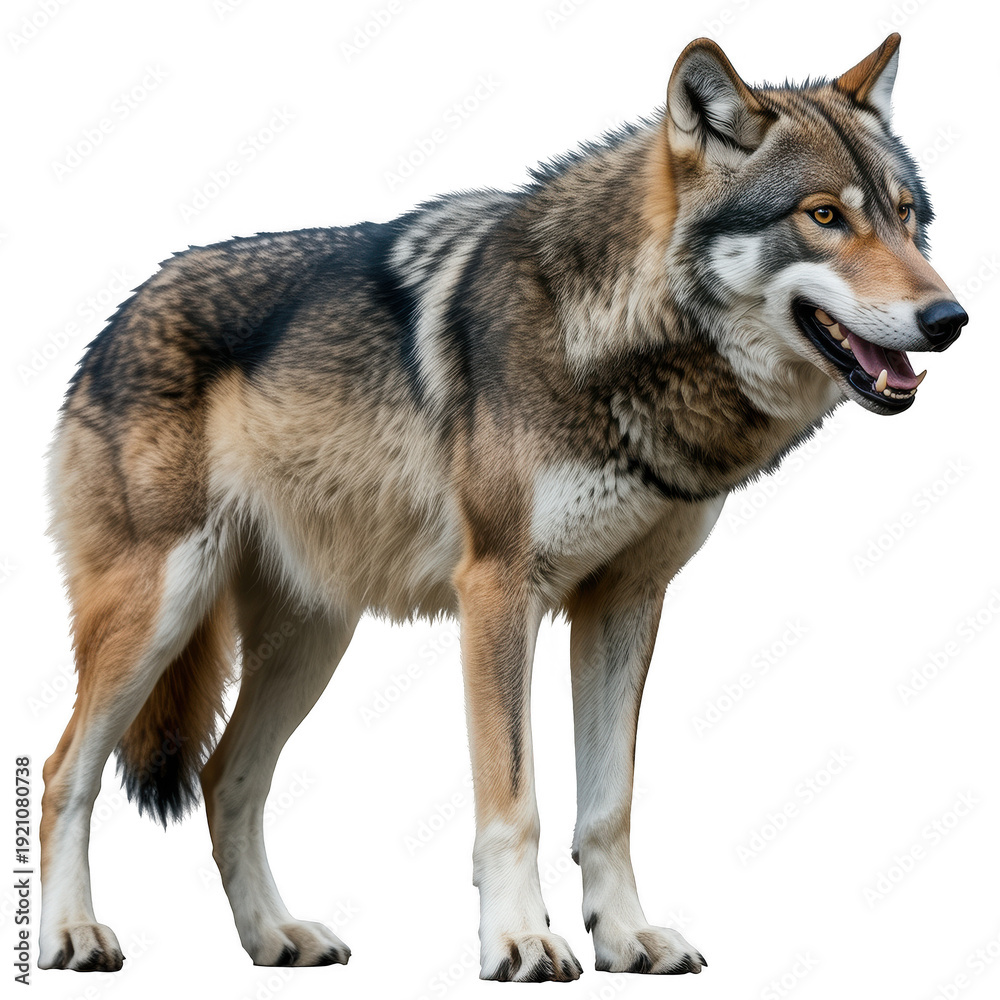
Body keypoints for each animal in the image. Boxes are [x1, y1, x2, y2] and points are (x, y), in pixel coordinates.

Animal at [39, 32, 966, 980]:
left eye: (906, 216)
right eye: (824, 217)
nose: (950, 317)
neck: (614, 345)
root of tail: (117, 316)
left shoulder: (626, 601)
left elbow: (608, 806)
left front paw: (626, 938)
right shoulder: (497, 590)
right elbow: (515, 800)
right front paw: (519, 939)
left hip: (310, 641)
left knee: (226, 779)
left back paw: (276, 937)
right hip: (162, 612)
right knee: (64, 770)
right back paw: (74, 934)